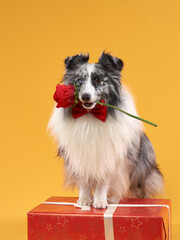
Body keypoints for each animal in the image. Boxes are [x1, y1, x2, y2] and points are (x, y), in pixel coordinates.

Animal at [47, 52, 163, 208]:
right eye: (79, 80)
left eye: (98, 79)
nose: (85, 97)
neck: (90, 115)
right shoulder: (78, 157)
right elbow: (84, 182)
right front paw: (84, 201)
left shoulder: (107, 157)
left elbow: (102, 184)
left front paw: (100, 202)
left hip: (141, 171)